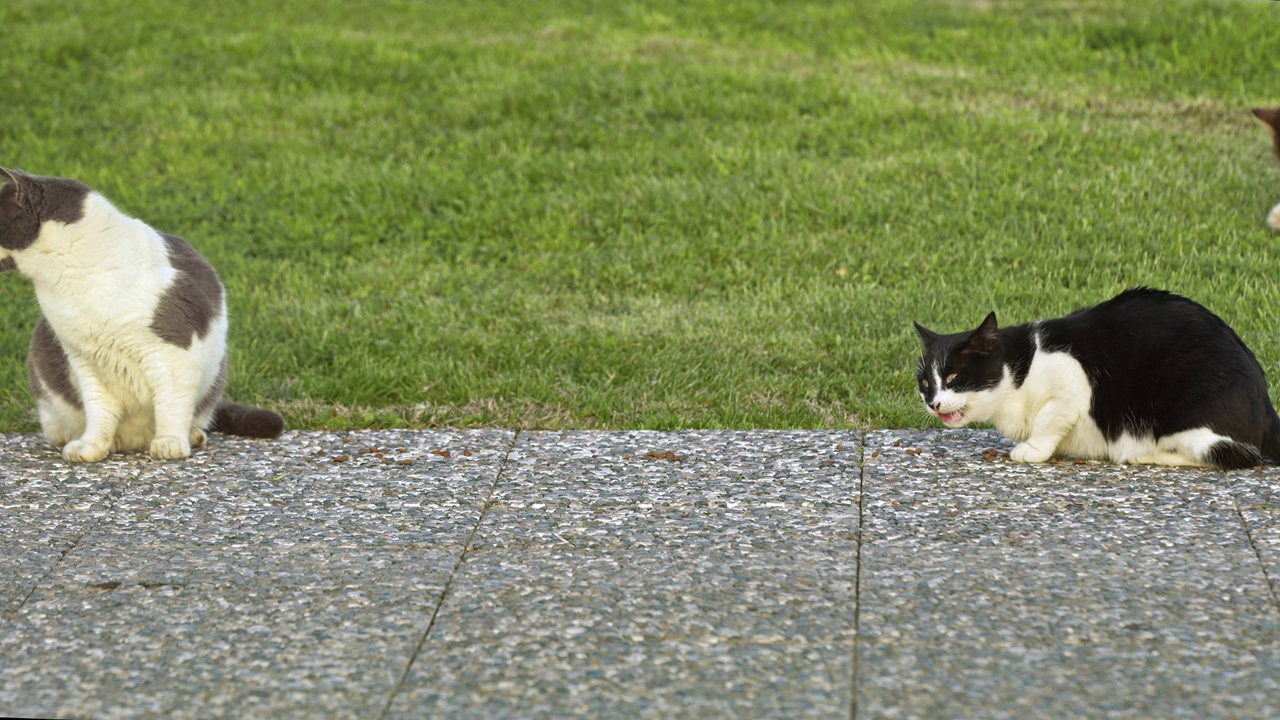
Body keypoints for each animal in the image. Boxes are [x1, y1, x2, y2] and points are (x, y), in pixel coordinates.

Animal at [0, 166, 282, 458]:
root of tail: (135, 440)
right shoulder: (85, 362)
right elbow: (98, 412)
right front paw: (91, 446)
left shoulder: (174, 353)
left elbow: (172, 404)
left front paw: (170, 442)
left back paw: (191, 436)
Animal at [911, 288, 1280, 468]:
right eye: (926, 383)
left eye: (953, 375)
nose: (934, 403)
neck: (1020, 371)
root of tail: (1266, 405)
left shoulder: (1071, 380)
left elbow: (1049, 417)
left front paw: (1033, 448)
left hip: (1189, 411)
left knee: (1230, 457)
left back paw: (1145, 454)